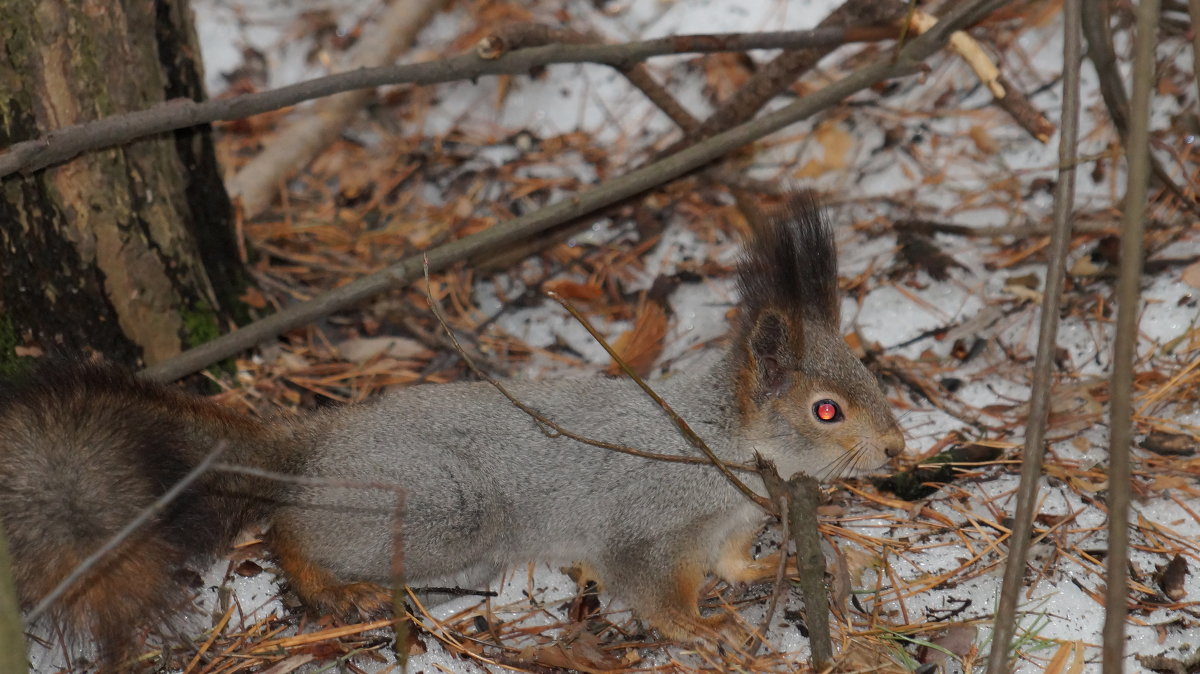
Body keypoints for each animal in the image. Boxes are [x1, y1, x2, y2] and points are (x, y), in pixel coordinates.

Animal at [0, 191, 902, 662]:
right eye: (827, 410)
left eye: (868, 375)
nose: (898, 447)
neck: (724, 446)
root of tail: (314, 447)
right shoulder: (649, 525)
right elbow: (651, 587)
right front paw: (704, 627)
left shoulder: (727, 524)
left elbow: (734, 560)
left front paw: (770, 570)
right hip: (440, 512)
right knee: (290, 535)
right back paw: (339, 588)